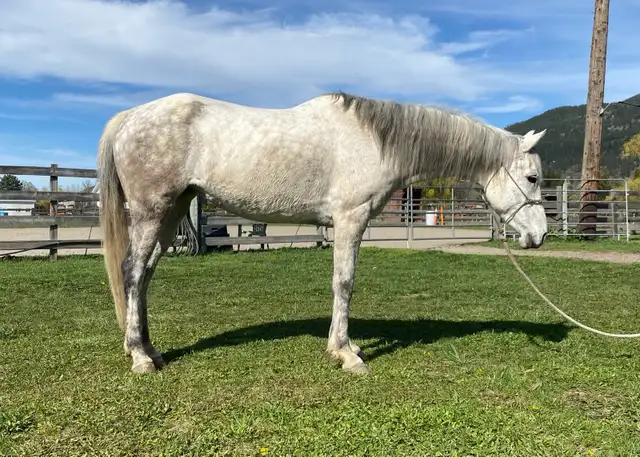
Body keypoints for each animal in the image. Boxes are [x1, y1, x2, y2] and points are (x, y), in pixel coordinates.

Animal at [97, 91, 548, 374]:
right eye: (532, 177)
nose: (540, 235)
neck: (376, 142)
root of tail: (129, 118)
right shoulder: (351, 220)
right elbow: (344, 282)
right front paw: (345, 354)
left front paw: (348, 346)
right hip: (152, 211)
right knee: (132, 271)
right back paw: (140, 357)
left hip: (172, 211)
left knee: (145, 274)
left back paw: (149, 348)